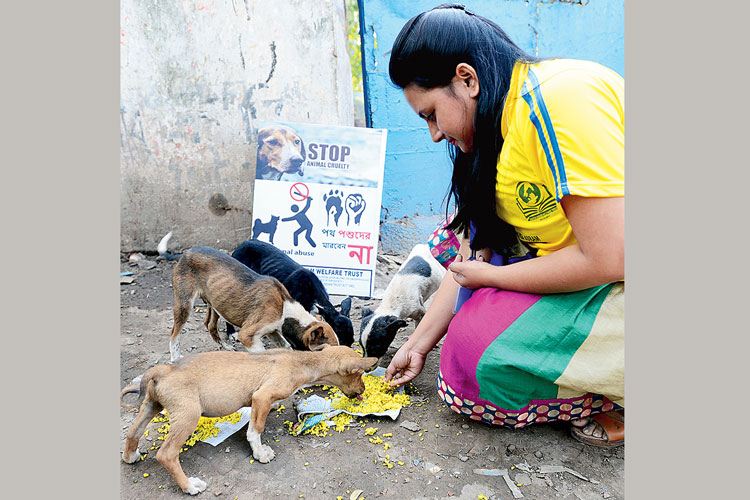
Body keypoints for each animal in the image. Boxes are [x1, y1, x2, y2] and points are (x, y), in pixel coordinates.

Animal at [124, 346, 382, 494]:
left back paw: (130, 456)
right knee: (166, 454)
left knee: (132, 432)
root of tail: (161, 370)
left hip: (151, 405)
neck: (302, 361)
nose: (363, 390)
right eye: (360, 374)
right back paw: (190, 486)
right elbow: (255, 429)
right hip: (188, 415)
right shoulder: (262, 397)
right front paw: (260, 453)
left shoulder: (260, 400)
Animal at [169, 247, 340, 362]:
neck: (285, 309)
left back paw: (225, 346)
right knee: (174, 334)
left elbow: (285, 347)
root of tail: (187, 252)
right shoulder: (248, 334)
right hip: (185, 304)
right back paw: (175, 357)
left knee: (210, 325)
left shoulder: (273, 331)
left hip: (215, 303)